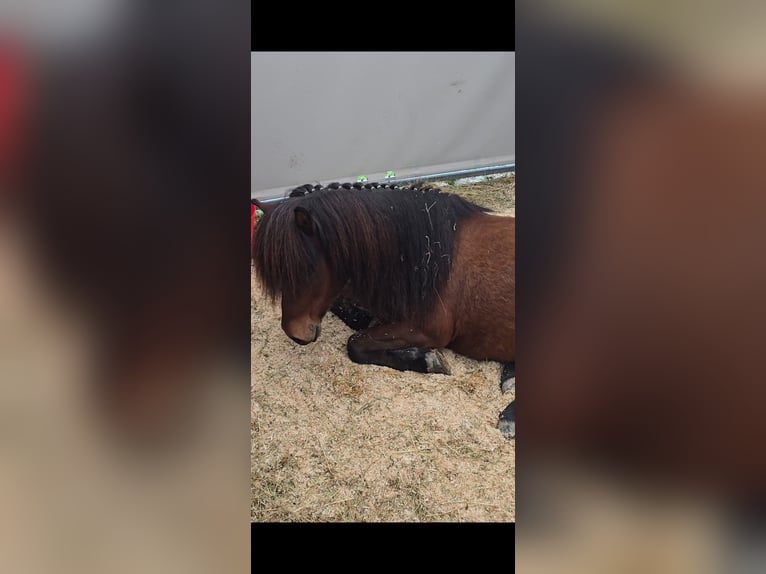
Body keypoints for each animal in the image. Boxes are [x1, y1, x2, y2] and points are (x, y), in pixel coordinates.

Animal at [252, 181, 515, 434]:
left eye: (305, 269)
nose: (295, 334)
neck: (430, 256)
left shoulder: (428, 330)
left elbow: (354, 344)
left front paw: (428, 359)